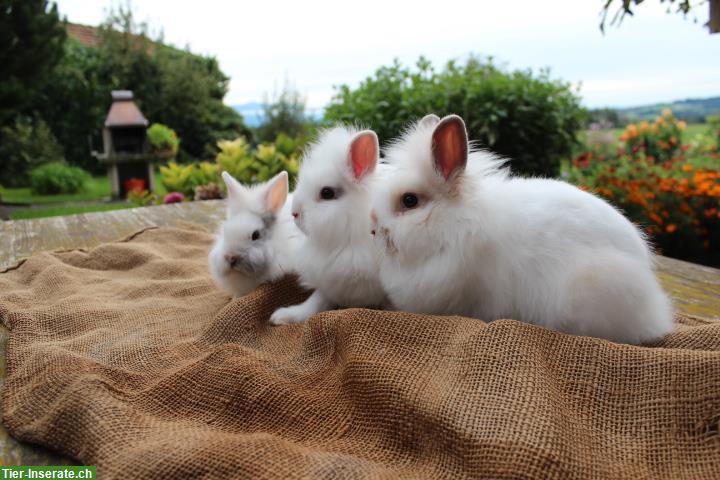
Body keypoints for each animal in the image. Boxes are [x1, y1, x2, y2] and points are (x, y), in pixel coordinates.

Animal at [270, 125, 390, 324]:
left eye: (327, 193)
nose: (295, 213)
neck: (348, 241)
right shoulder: (330, 284)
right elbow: (316, 302)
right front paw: (284, 316)